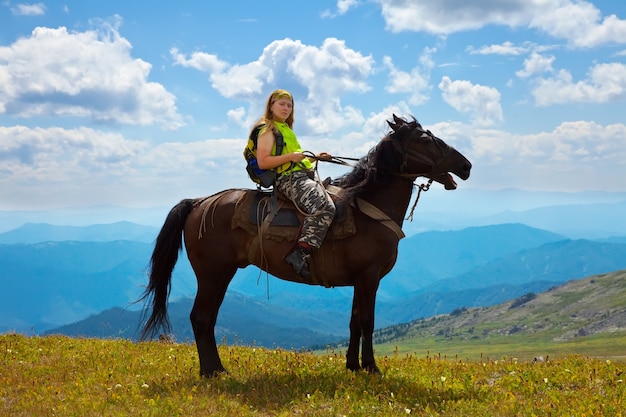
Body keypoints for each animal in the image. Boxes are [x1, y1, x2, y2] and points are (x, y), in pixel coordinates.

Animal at [139, 114, 470, 376]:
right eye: (426, 139)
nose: (466, 165)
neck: (369, 207)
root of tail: (199, 202)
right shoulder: (369, 277)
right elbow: (367, 321)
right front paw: (372, 367)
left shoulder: (359, 280)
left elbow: (354, 322)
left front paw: (353, 366)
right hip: (211, 274)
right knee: (200, 317)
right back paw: (210, 372)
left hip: (222, 274)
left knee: (208, 319)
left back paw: (218, 368)